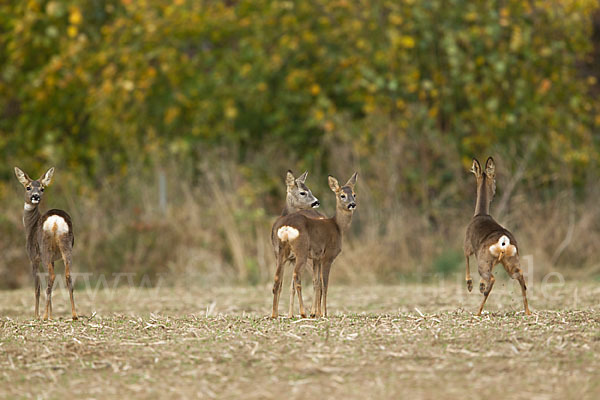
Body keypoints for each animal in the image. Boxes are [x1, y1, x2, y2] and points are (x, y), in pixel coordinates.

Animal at [14, 167, 78, 320]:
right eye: (28, 187)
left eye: (42, 188)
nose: (35, 196)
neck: (30, 227)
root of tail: (55, 221)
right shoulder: (54, 259)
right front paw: (51, 315)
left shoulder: (33, 257)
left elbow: (36, 287)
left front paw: (37, 315)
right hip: (66, 246)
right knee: (67, 276)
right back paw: (74, 315)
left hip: (44, 249)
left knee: (51, 277)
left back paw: (42, 315)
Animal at [272, 172, 356, 318]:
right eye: (342, 195)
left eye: (354, 194)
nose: (352, 204)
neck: (337, 226)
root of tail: (286, 227)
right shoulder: (328, 256)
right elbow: (325, 283)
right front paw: (324, 313)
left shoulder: (317, 257)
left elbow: (317, 282)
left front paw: (316, 313)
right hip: (301, 251)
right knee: (296, 276)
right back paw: (302, 312)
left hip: (282, 253)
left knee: (278, 278)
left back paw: (275, 314)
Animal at [464, 158, 528, 318]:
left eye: (494, 180)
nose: (494, 194)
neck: (480, 213)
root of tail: (503, 242)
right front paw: (480, 285)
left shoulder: (467, 244)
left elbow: (466, 258)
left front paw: (471, 285)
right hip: (511, 260)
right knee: (521, 277)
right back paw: (527, 311)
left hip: (485, 261)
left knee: (492, 279)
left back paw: (478, 310)